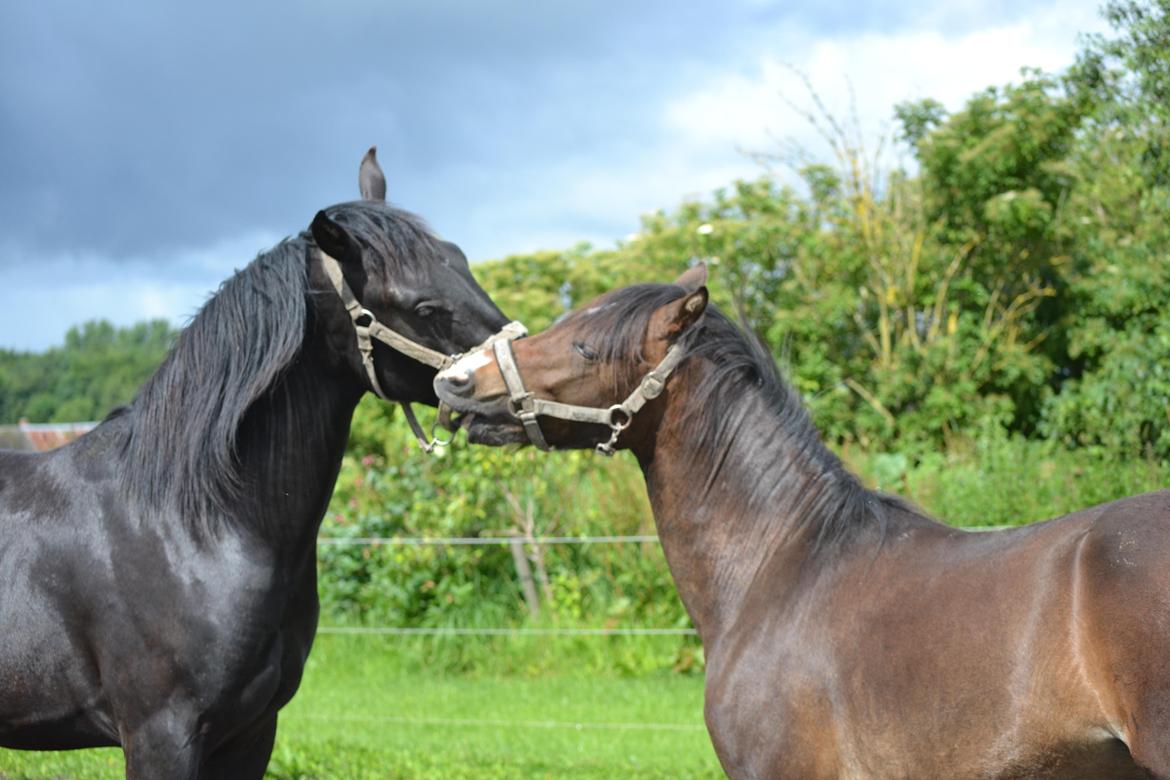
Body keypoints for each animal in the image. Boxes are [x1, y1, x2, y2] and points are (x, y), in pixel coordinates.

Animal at [1, 149, 512, 776]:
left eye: (461, 262)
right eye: (424, 306)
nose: (522, 375)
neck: (195, 528)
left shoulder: (251, 732)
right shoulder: (159, 737)